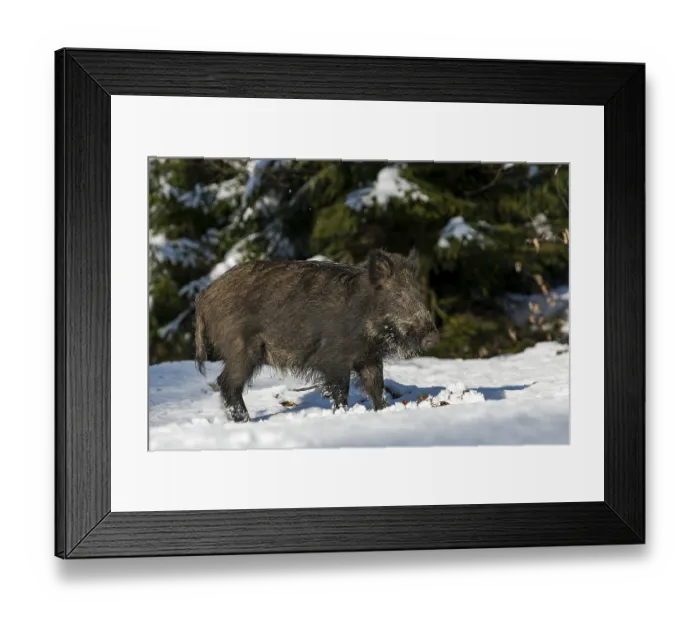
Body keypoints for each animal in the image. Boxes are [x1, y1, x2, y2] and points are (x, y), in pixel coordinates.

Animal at [194, 248, 440, 422]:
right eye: (399, 296)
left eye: (418, 294)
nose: (432, 338)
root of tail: (204, 296)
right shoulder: (335, 359)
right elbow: (340, 390)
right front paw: (342, 414)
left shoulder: (369, 358)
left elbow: (376, 387)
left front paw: (383, 411)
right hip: (241, 349)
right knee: (227, 384)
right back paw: (246, 421)